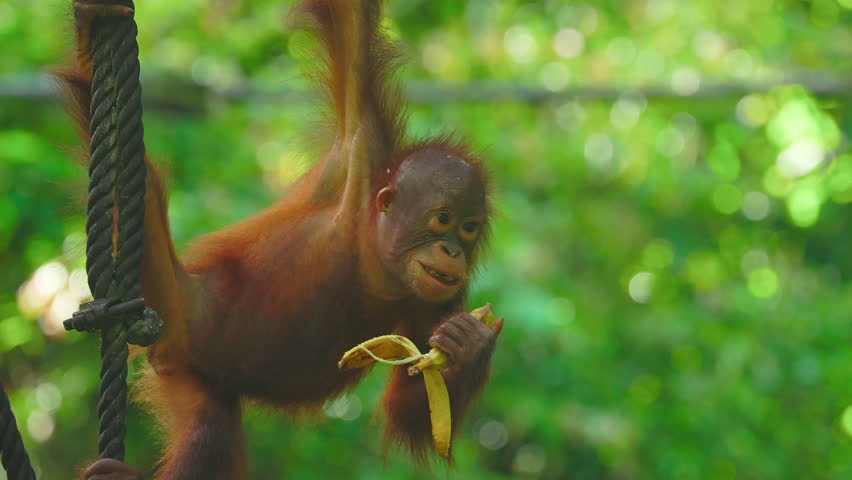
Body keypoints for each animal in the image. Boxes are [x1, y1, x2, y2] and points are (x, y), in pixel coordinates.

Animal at [56, 1, 503, 478]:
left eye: (469, 227)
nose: (453, 250)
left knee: (208, 430)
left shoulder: (440, 297)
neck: (375, 260)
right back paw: (88, 50)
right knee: (141, 185)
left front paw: (471, 346)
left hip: (191, 374)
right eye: (442, 218)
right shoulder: (362, 147)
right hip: (174, 301)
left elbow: (414, 411)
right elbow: (350, 24)